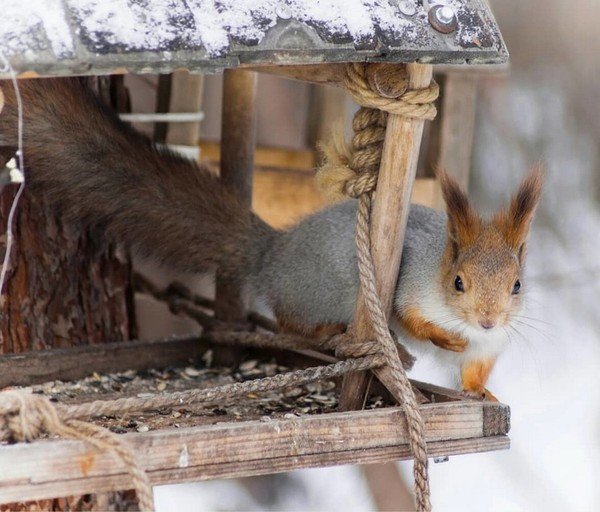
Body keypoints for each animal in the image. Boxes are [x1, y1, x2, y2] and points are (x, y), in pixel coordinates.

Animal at [0, 79, 544, 400]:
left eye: (517, 285)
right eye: (457, 282)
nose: (488, 319)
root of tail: (272, 254)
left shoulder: (488, 350)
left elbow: (473, 374)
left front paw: (485, 396)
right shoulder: (412, 282)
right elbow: (409, 314)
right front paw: (441, 337)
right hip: (332, 287)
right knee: (291, 322)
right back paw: (341, 336)